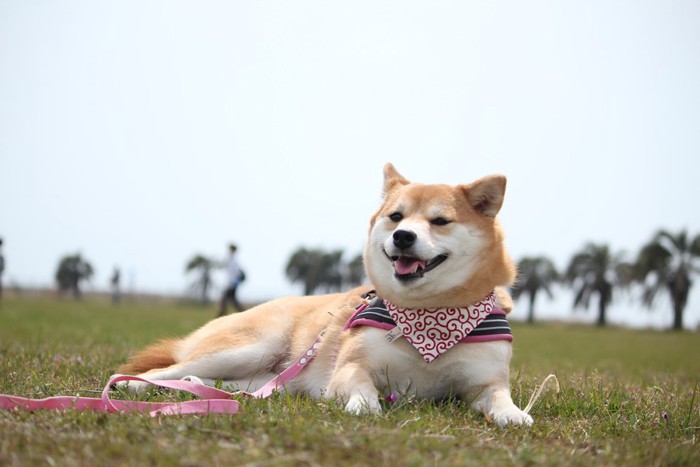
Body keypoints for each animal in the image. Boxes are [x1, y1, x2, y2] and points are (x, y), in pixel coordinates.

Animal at [117, 163, 532, 426]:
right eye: (396, 217)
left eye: (440, 221)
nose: (403, 236)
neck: (429, 318)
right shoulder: (350, 366)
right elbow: (360, 385)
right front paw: (365, 406)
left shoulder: (484, 382)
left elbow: (499, 396)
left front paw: (512, 414)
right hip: (250, 348)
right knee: (160, 371)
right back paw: (133, 386)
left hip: (264, 375)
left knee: (230, 386)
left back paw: (198, 388)